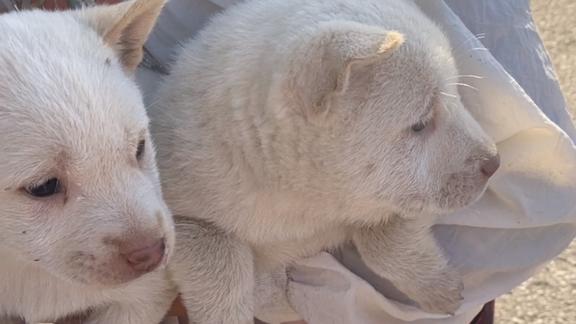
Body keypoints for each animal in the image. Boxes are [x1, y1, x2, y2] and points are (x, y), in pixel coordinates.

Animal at [153, 0, 500, 320]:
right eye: (420, 124)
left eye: (457, 96)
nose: (494, 162)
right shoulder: (182, 214)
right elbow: (223, 262)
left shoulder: (393, 195)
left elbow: (384, 237)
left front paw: (438, 288)